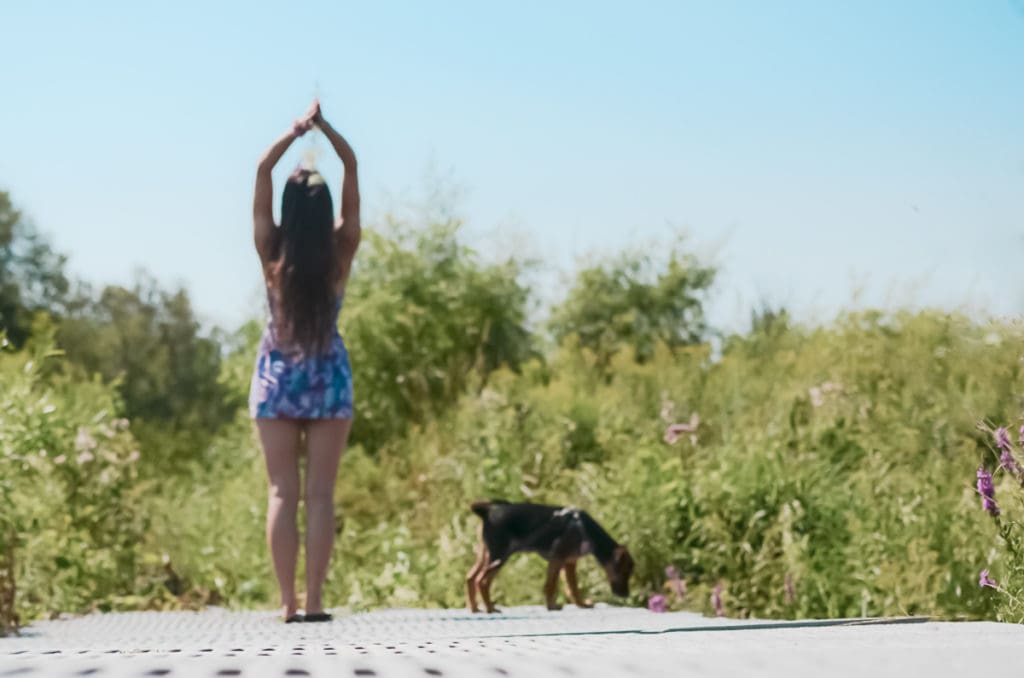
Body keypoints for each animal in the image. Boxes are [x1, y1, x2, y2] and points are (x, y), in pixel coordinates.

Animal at [468, 499, 634, 614]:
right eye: (624, 572)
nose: (626, 595)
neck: (584, 530)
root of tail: (486, 513)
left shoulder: (569, 563)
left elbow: (572, 587)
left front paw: (581, 604)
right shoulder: (557, 560)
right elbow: (551, 585)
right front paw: (552, 606)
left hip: (485, 554)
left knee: (470, 577)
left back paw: (475, 608)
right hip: (499, 556)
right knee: (482, 581)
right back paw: (490, 608)